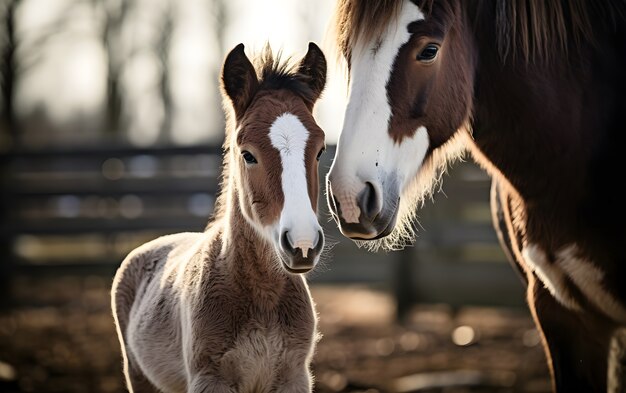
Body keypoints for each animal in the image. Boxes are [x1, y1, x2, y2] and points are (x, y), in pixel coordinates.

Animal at [110, 43, 326, 392]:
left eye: (320, 151)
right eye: (248, 154)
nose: (303, 244)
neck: (262, 297)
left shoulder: (294, 378)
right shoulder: (211, 379)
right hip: (139, 376)